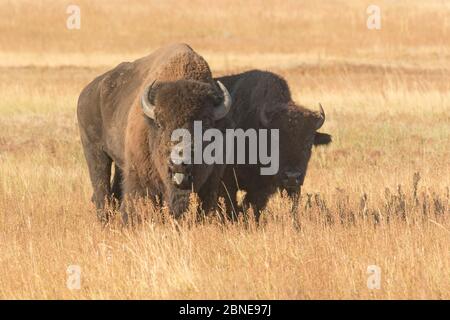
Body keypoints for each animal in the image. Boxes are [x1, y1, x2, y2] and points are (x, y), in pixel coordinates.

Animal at [77, 42, 234, 224]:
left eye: (206, 123)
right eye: (160, 124)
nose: (179, 163)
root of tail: (87, 92)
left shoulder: (211, 180)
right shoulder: (139, 174)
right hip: (95, 152)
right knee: (101, 190)